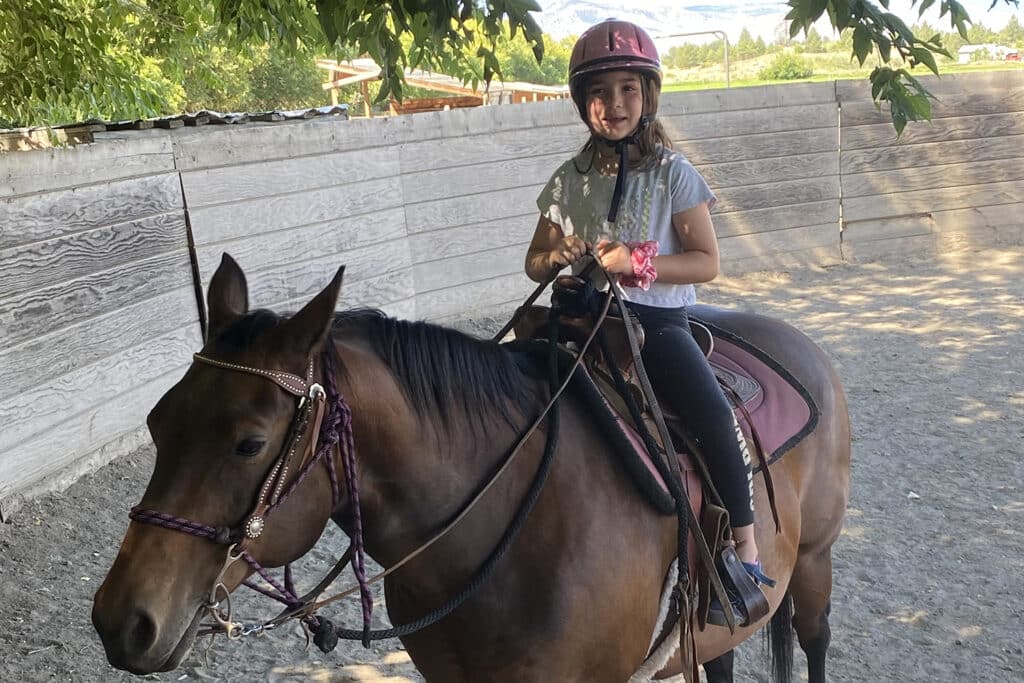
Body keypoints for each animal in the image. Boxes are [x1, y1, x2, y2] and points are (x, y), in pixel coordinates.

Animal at [92, 254, 850, 682]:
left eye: (249, 443)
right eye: (157, 423)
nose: (122, 619)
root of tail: (800, 342)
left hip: (814, 558)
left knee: (814, 638)